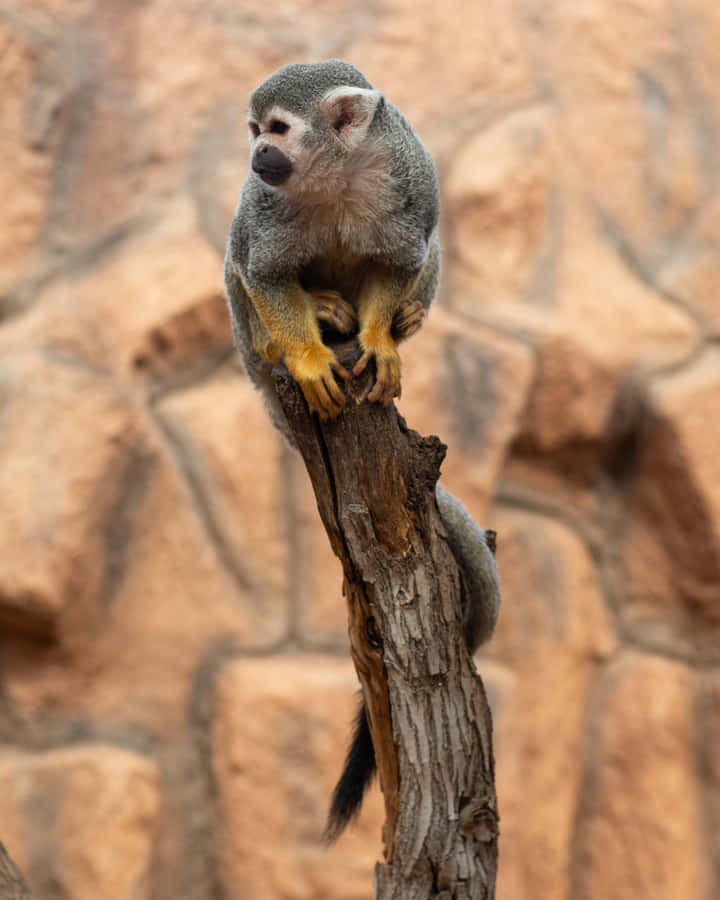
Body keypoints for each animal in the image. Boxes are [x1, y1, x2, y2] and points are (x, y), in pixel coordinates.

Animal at [223, 60, 501, 841]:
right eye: (254, 132)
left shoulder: (410, 177)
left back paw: (395, 323)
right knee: (240, 268)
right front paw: (308, 354)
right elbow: (260, 269)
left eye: (277, 130)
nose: (256, 156)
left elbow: (399, 258)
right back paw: (300, 335)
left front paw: (378, 339)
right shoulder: (264, 209)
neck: (337, 174)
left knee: (423, 257)